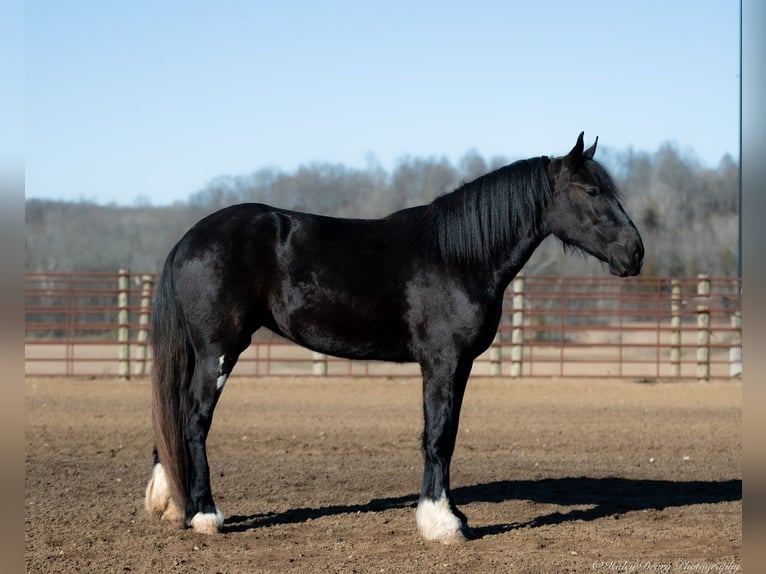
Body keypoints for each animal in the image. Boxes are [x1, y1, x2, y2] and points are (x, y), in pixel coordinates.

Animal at [144, 135, 640, 544]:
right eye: (591, 191)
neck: (458, 256)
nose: (635, 253)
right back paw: (206, 515)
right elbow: (438, 435)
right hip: (218, 352)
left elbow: (447, 435)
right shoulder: (443, 362)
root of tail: (188, 240)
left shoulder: (460, 365)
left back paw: (169, 502)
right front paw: (442, 523)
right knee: (194, 419)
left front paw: (452, 515)